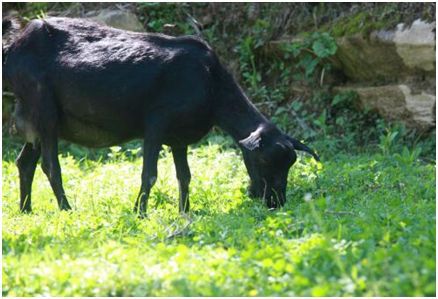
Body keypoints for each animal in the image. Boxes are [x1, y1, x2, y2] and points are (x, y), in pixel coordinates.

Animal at [2, 17, 318, 216]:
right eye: (264, 161)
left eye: (289, 164)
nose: (276, 202)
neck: (211, 84)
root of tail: (14, 47)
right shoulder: (155, 125)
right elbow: (150, 174)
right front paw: (139, 213)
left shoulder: (179, 138)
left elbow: (185, 176)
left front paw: (185, 211)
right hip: (44, 111)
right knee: (50, 165)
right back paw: (67, 209)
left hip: (35, 119)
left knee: (25, 162)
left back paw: (26, 210)